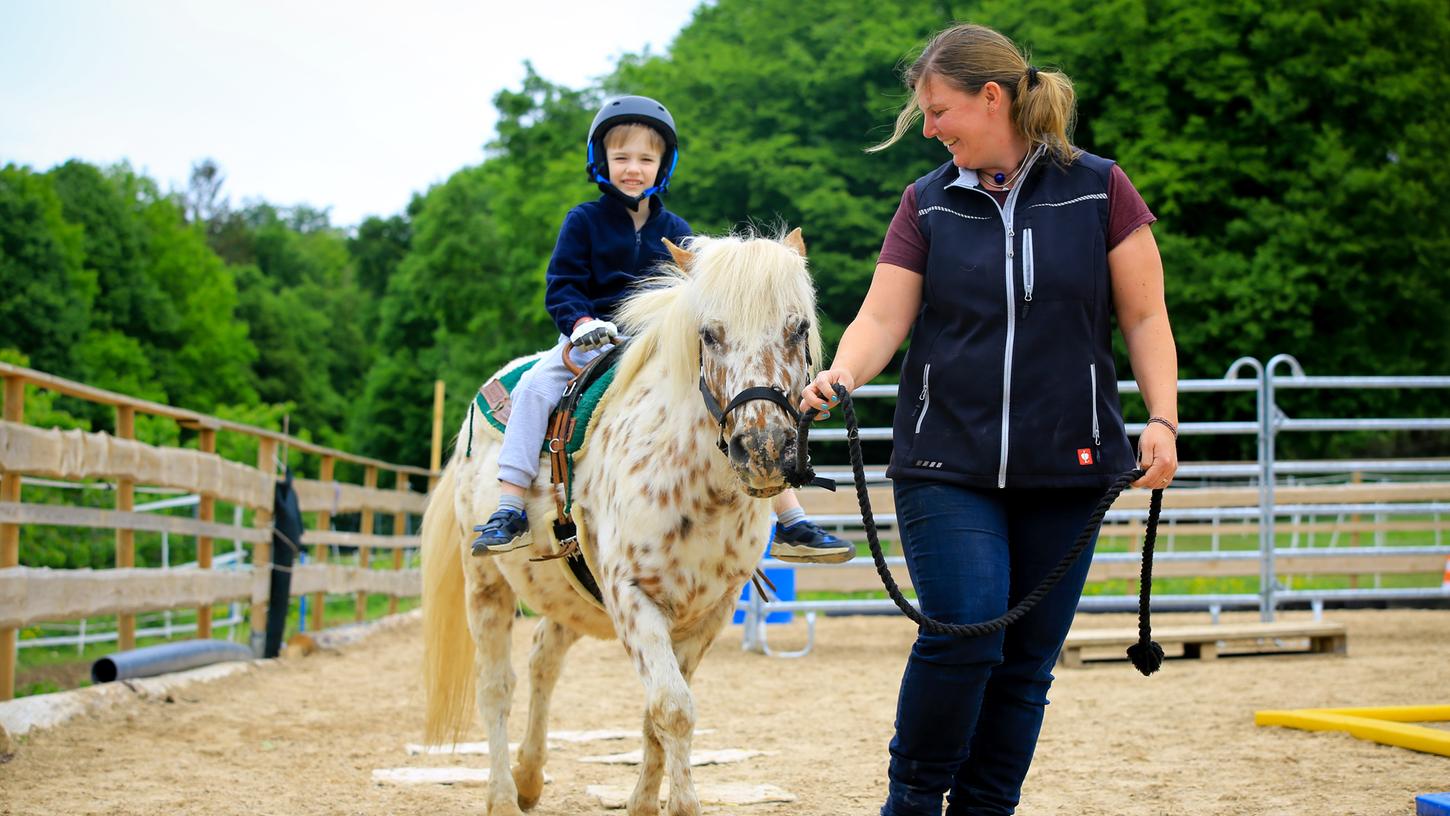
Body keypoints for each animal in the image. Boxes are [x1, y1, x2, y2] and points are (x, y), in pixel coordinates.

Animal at [423, 229, 823, 816]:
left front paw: (643, 803)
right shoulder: (633, 597)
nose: (765, 450)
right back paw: (501, 795)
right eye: (709, 334)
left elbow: (656, 715)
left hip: (566, 597)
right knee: (496, 686)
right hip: (487, 587)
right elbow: (673, 709)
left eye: (798, 328)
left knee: (543, 661)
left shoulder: (709, 612)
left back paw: (528, 777)